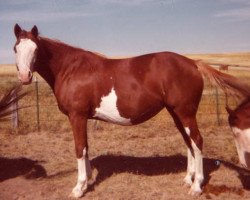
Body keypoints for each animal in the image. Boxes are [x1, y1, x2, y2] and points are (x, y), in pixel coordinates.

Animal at [12, 24, 250, 198]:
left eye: (35, 49)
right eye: (16, 49)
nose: (24, 77)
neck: (71, 69)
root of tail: (193, 63)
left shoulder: (76, 116)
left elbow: (80, 148)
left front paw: (79, 188)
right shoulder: (83, 118)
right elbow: (86, 148)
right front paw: (87, 181)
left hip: (186, 113)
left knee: (198, 141)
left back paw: (197, 186)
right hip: (176, 113)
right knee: (189, 142)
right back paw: (187, 179)